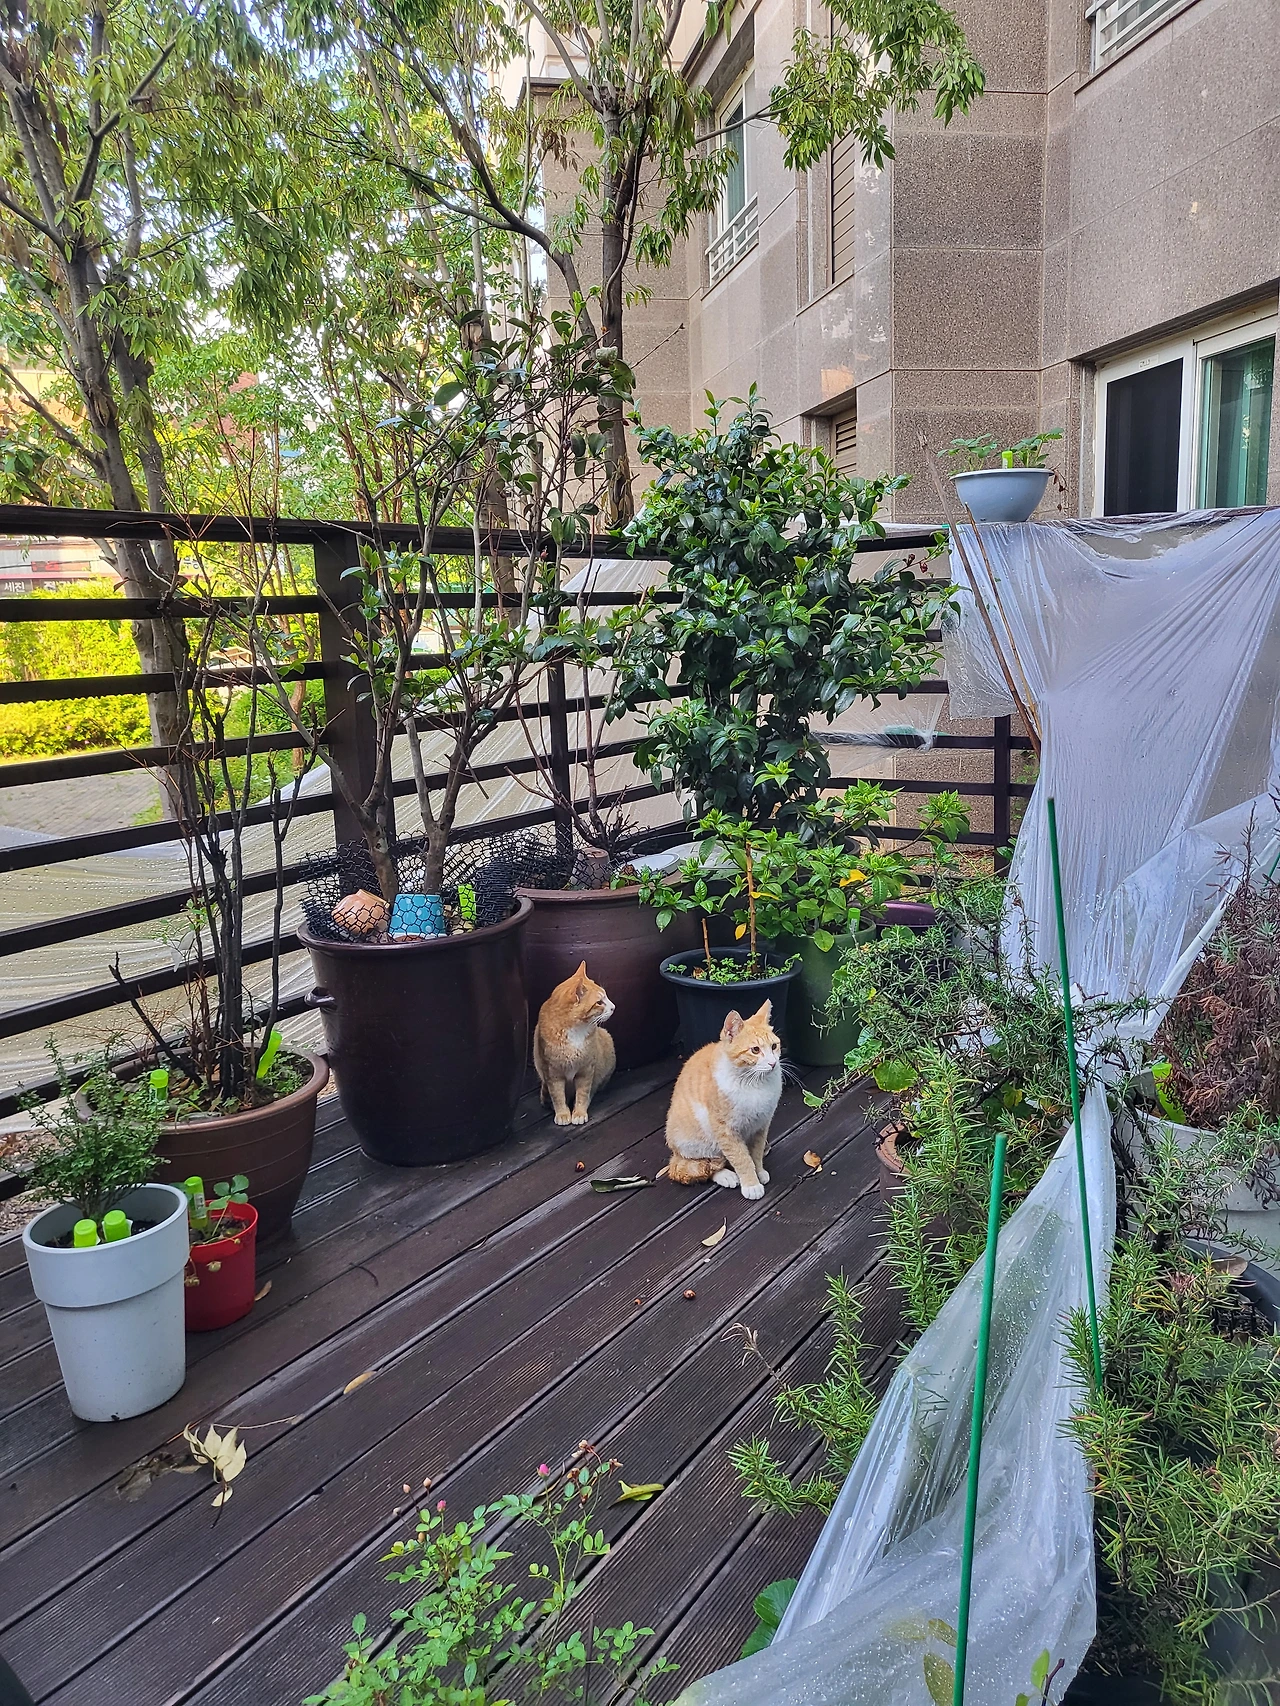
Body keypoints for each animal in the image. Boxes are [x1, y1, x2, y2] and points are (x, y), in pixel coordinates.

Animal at [533, 962, 616, 1127]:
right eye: (599, 1002)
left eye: (606, 996)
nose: (613, 1007)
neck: (576, 1030)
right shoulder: (552, 1073)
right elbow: (558, 1096)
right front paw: (563, 1114)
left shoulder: (586, 1069)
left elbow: (582, 1094)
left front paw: (578, 1113)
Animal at [664, 1002, 783, 1200]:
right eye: (755, 1050)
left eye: (774, 1046)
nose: (773, 1063)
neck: (754, 1083)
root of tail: (675, 1154)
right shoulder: (726, 1131)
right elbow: (742, 1159)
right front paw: (751, 1184)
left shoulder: (761, 1125)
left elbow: (756, 1153)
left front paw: (759, 1171)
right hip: (699, 1142)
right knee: (700, 1165)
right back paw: (726, 1176)